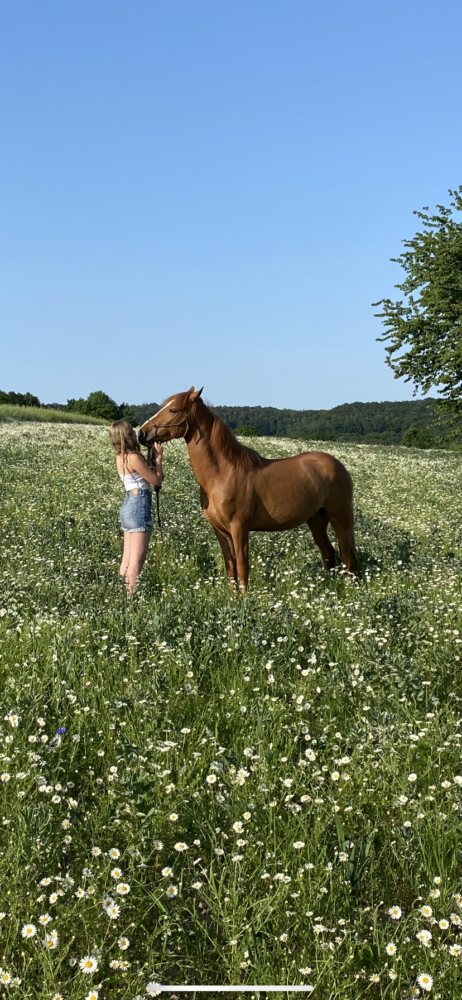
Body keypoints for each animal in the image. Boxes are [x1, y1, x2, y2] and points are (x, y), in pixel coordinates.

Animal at [138, 386, 358, 588]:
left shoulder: (239, 528)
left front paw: (245, 602)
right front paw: (233, 601)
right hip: (316, 519)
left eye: (173, 409)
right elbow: (231, 568)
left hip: (340, 518)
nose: (142, 433)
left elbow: (243, 567)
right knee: (329, 553)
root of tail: (338, 465)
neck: (222, 475)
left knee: (347, 558)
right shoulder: (221, 531)